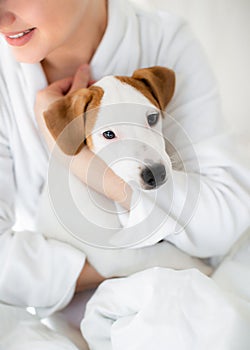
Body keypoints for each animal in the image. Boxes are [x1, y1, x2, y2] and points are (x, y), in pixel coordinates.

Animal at [35, 65, 211, 278]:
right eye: (108, 134)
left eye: (152, 118)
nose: (156, 174)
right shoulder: (118, 256)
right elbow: (167, 253)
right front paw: (201, 266)